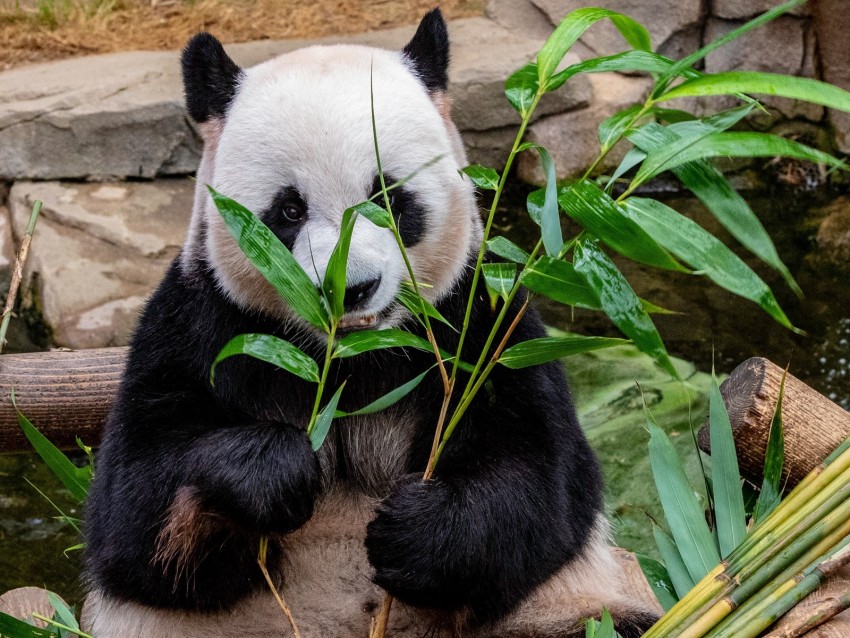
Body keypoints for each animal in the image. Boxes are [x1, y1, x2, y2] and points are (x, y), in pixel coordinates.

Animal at [83, 8, 660, 638]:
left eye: (387, 195)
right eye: (289, 210)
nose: (350, 289)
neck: (351, 358)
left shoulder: (481, 322)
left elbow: (542, 480)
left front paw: (416, 533)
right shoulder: (202, 322)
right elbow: (134, 510)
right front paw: (275, 470)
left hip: (557, 611)